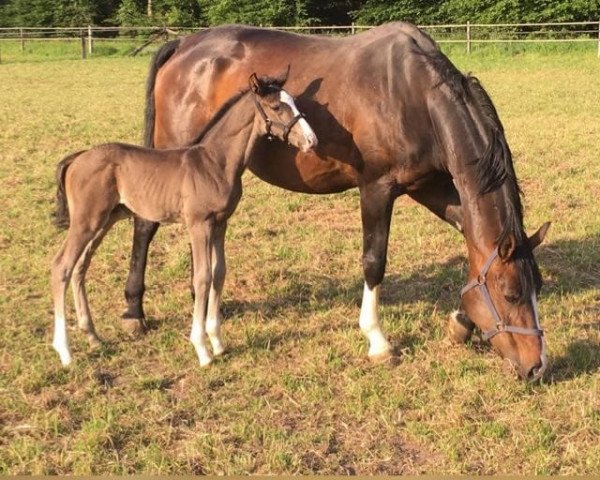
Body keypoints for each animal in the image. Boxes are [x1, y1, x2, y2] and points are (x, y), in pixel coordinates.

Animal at [50, 71, 318, 366]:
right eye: (276, 106)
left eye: (293, 101)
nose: (311, 140)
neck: (215, 162)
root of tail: (77, 158)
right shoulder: (199, 224)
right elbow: (202, 277)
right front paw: (202, 349)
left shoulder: (221, 223)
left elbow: (219, 273)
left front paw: (217, 342)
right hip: (85, 221)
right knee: (61, 267)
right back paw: (65, 351)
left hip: (104, 220)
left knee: (80, 267)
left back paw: (93, 337)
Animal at [125, 22, 548, 380]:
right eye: (510, 293)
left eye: (538, 287)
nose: (537, 367)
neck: (412, 93)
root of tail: (184, 44)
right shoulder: (377, 188)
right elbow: (374, 262)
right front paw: (377, 340)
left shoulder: (425, 186)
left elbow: (469, 238)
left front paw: (461, 320)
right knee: (145, 225)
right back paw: (133, 312)